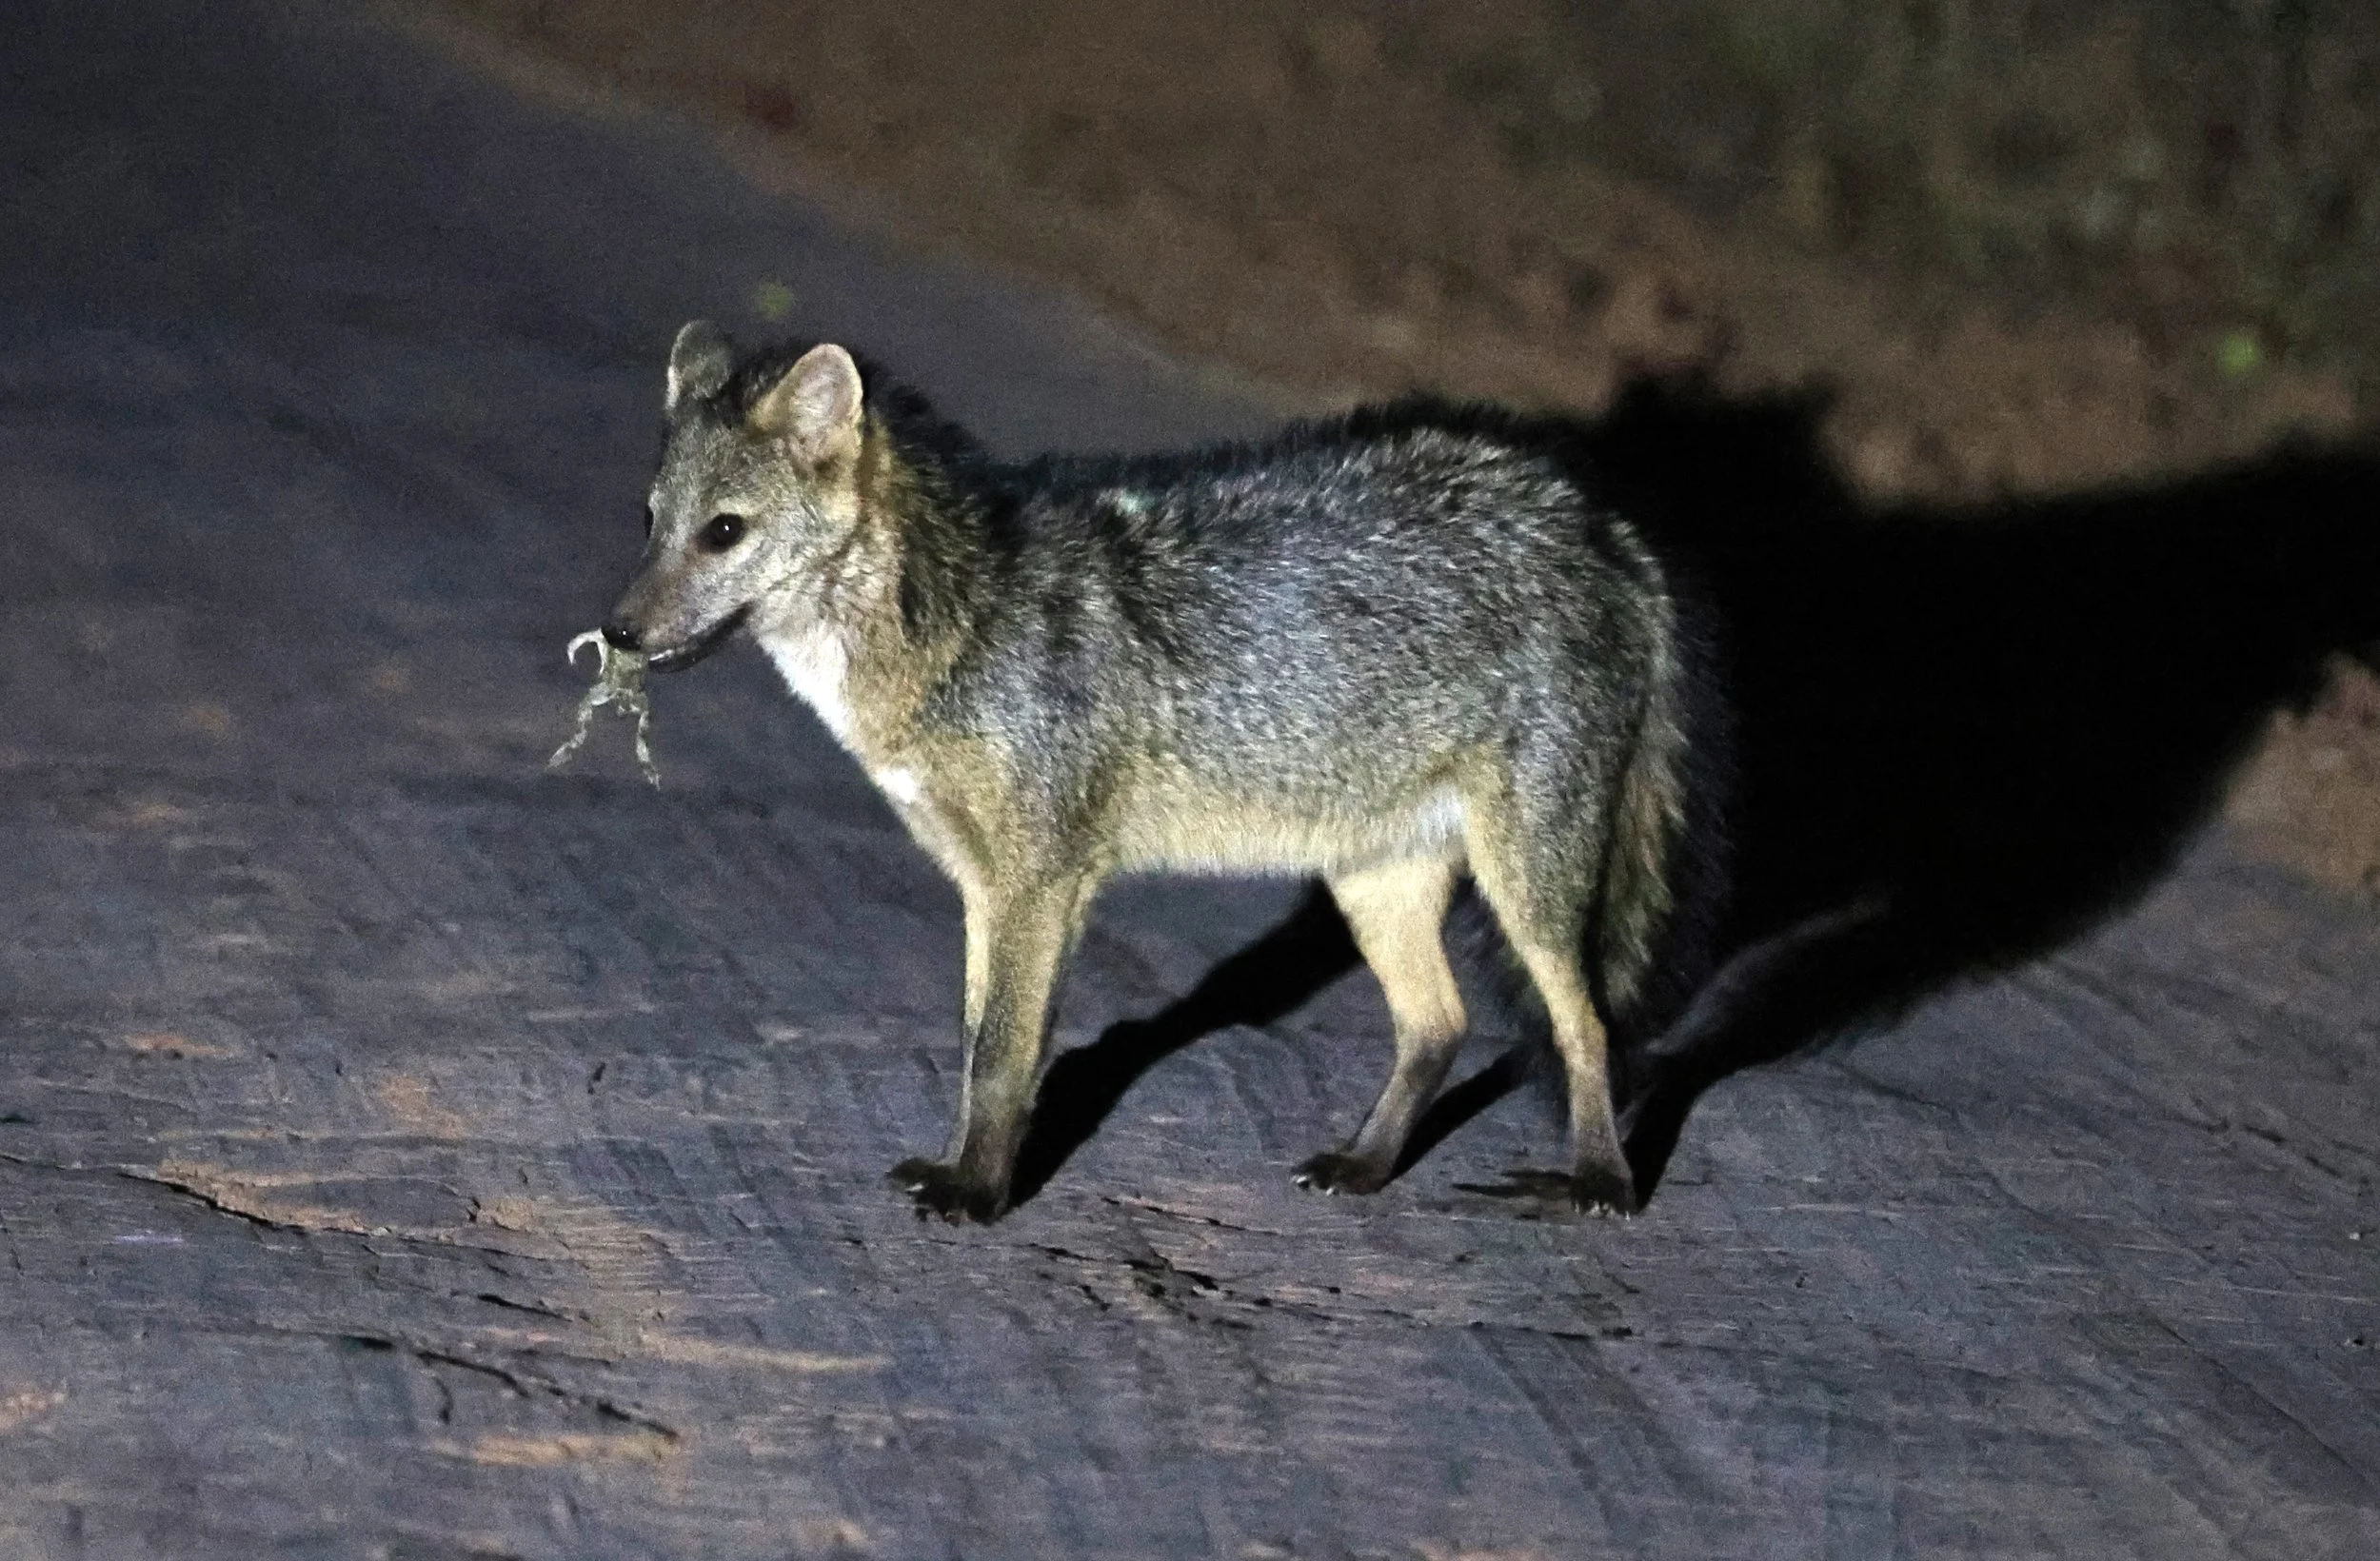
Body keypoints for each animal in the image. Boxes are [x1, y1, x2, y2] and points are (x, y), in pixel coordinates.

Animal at [598, 321, 1729, 1222]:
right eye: (649, 521)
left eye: (725, 532)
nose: (617, 633)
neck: (955, 627)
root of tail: (1600, 524)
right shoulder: (983, 886)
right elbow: (975, 1046)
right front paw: (965, 1166)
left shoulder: (1041, 883)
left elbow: (1003, 1054)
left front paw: (977, 1194)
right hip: (1372, 878)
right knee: (1439, 1024)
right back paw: (1364, 1166)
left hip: (1526, 885)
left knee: (1586, 1027)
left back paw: (1601, 1185)